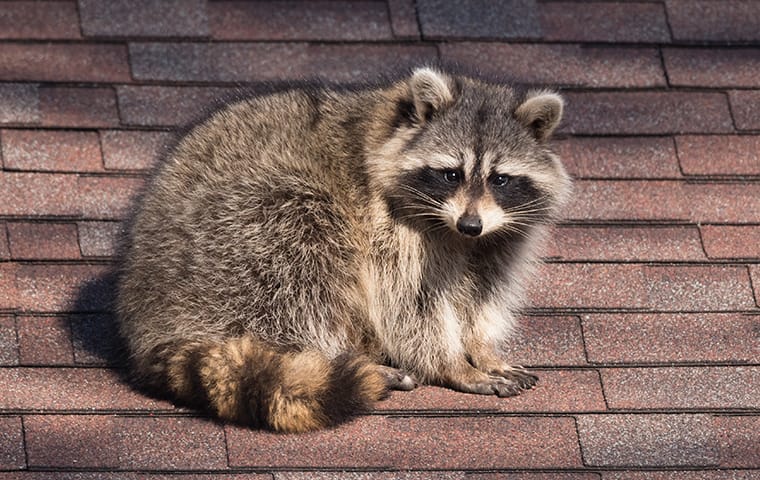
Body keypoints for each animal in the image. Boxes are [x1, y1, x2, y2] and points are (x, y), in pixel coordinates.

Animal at [117, 68, 568, 436]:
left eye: (501, 179)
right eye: (450, 174)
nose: (470, 224)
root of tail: (149, 315)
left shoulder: (498, 237)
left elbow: (479, 295)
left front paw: (481, 349)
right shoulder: (390, 230)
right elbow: (409, 307)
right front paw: (452, 365)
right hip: (237, 234)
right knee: (304, 264)